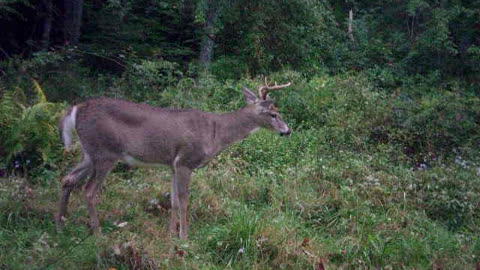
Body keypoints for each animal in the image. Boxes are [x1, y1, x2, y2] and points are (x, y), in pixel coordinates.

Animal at [54, 79, 290, 239]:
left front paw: (171, 235)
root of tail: (76, 109)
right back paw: (98, 233)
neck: (215, 132)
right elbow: (184, 200)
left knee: (67, 179)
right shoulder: (185, 161)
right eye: (273, 114)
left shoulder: (172, 165)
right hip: (105, 153)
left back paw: (61, 224)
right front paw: (184, 237)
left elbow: (174, 201)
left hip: (89, 153)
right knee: (89, 191)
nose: (287, 130)